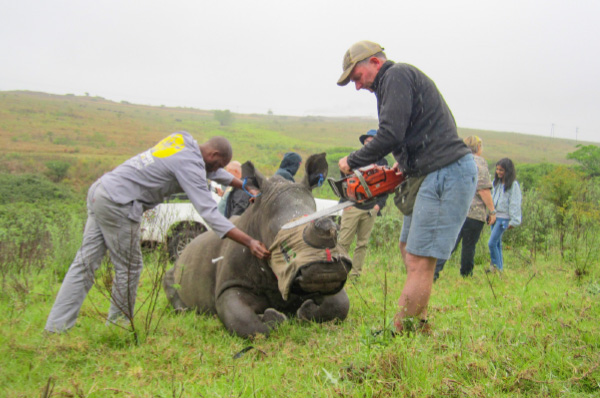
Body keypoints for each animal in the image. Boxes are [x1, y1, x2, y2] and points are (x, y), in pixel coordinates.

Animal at [162, 154, 354, 338]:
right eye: (283, 243)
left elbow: (341, 303)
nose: (325, 270)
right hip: (178, 264)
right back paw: (183, 310)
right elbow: (244, 321)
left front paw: (305, 311)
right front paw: (274, 319)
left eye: (336, 231)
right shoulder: (229, 285)